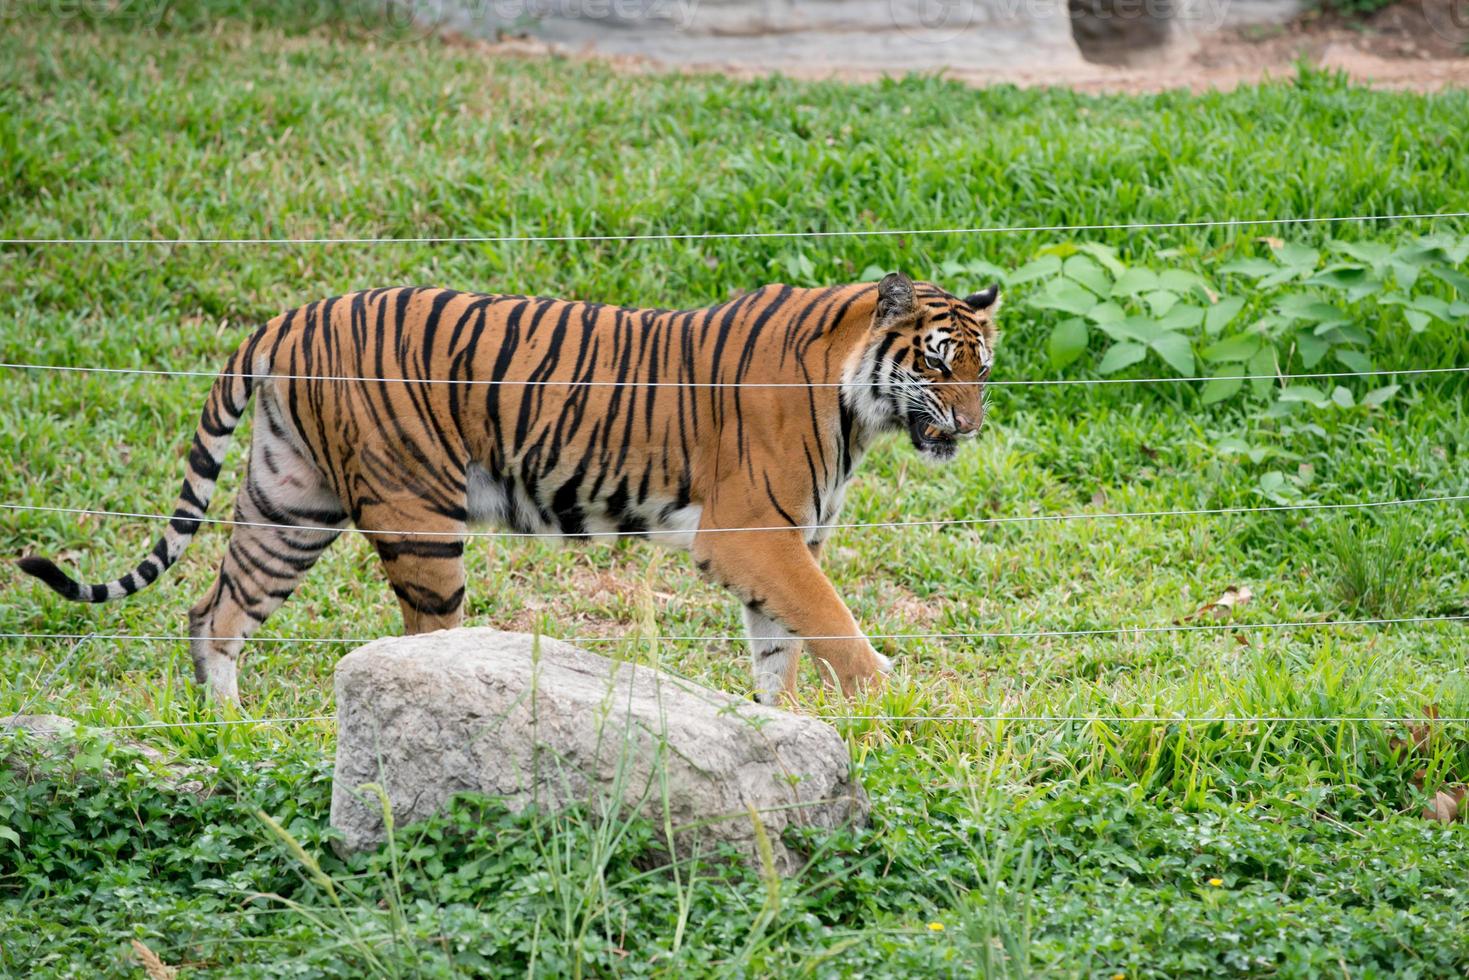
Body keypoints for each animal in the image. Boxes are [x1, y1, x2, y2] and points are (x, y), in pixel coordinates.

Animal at [20, 274, 998, 705]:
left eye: (982, 368)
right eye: (936, 364)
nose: (970, 425)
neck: (852, 403)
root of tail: (290, 316)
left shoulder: (786, 542)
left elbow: (780, 647)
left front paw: (784, 730)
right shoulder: (752, 533)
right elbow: (832, 624)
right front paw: (892, 705)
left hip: (291, 502)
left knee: (213, 611)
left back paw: (230, 732)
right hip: (416, 517)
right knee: (419, 639)